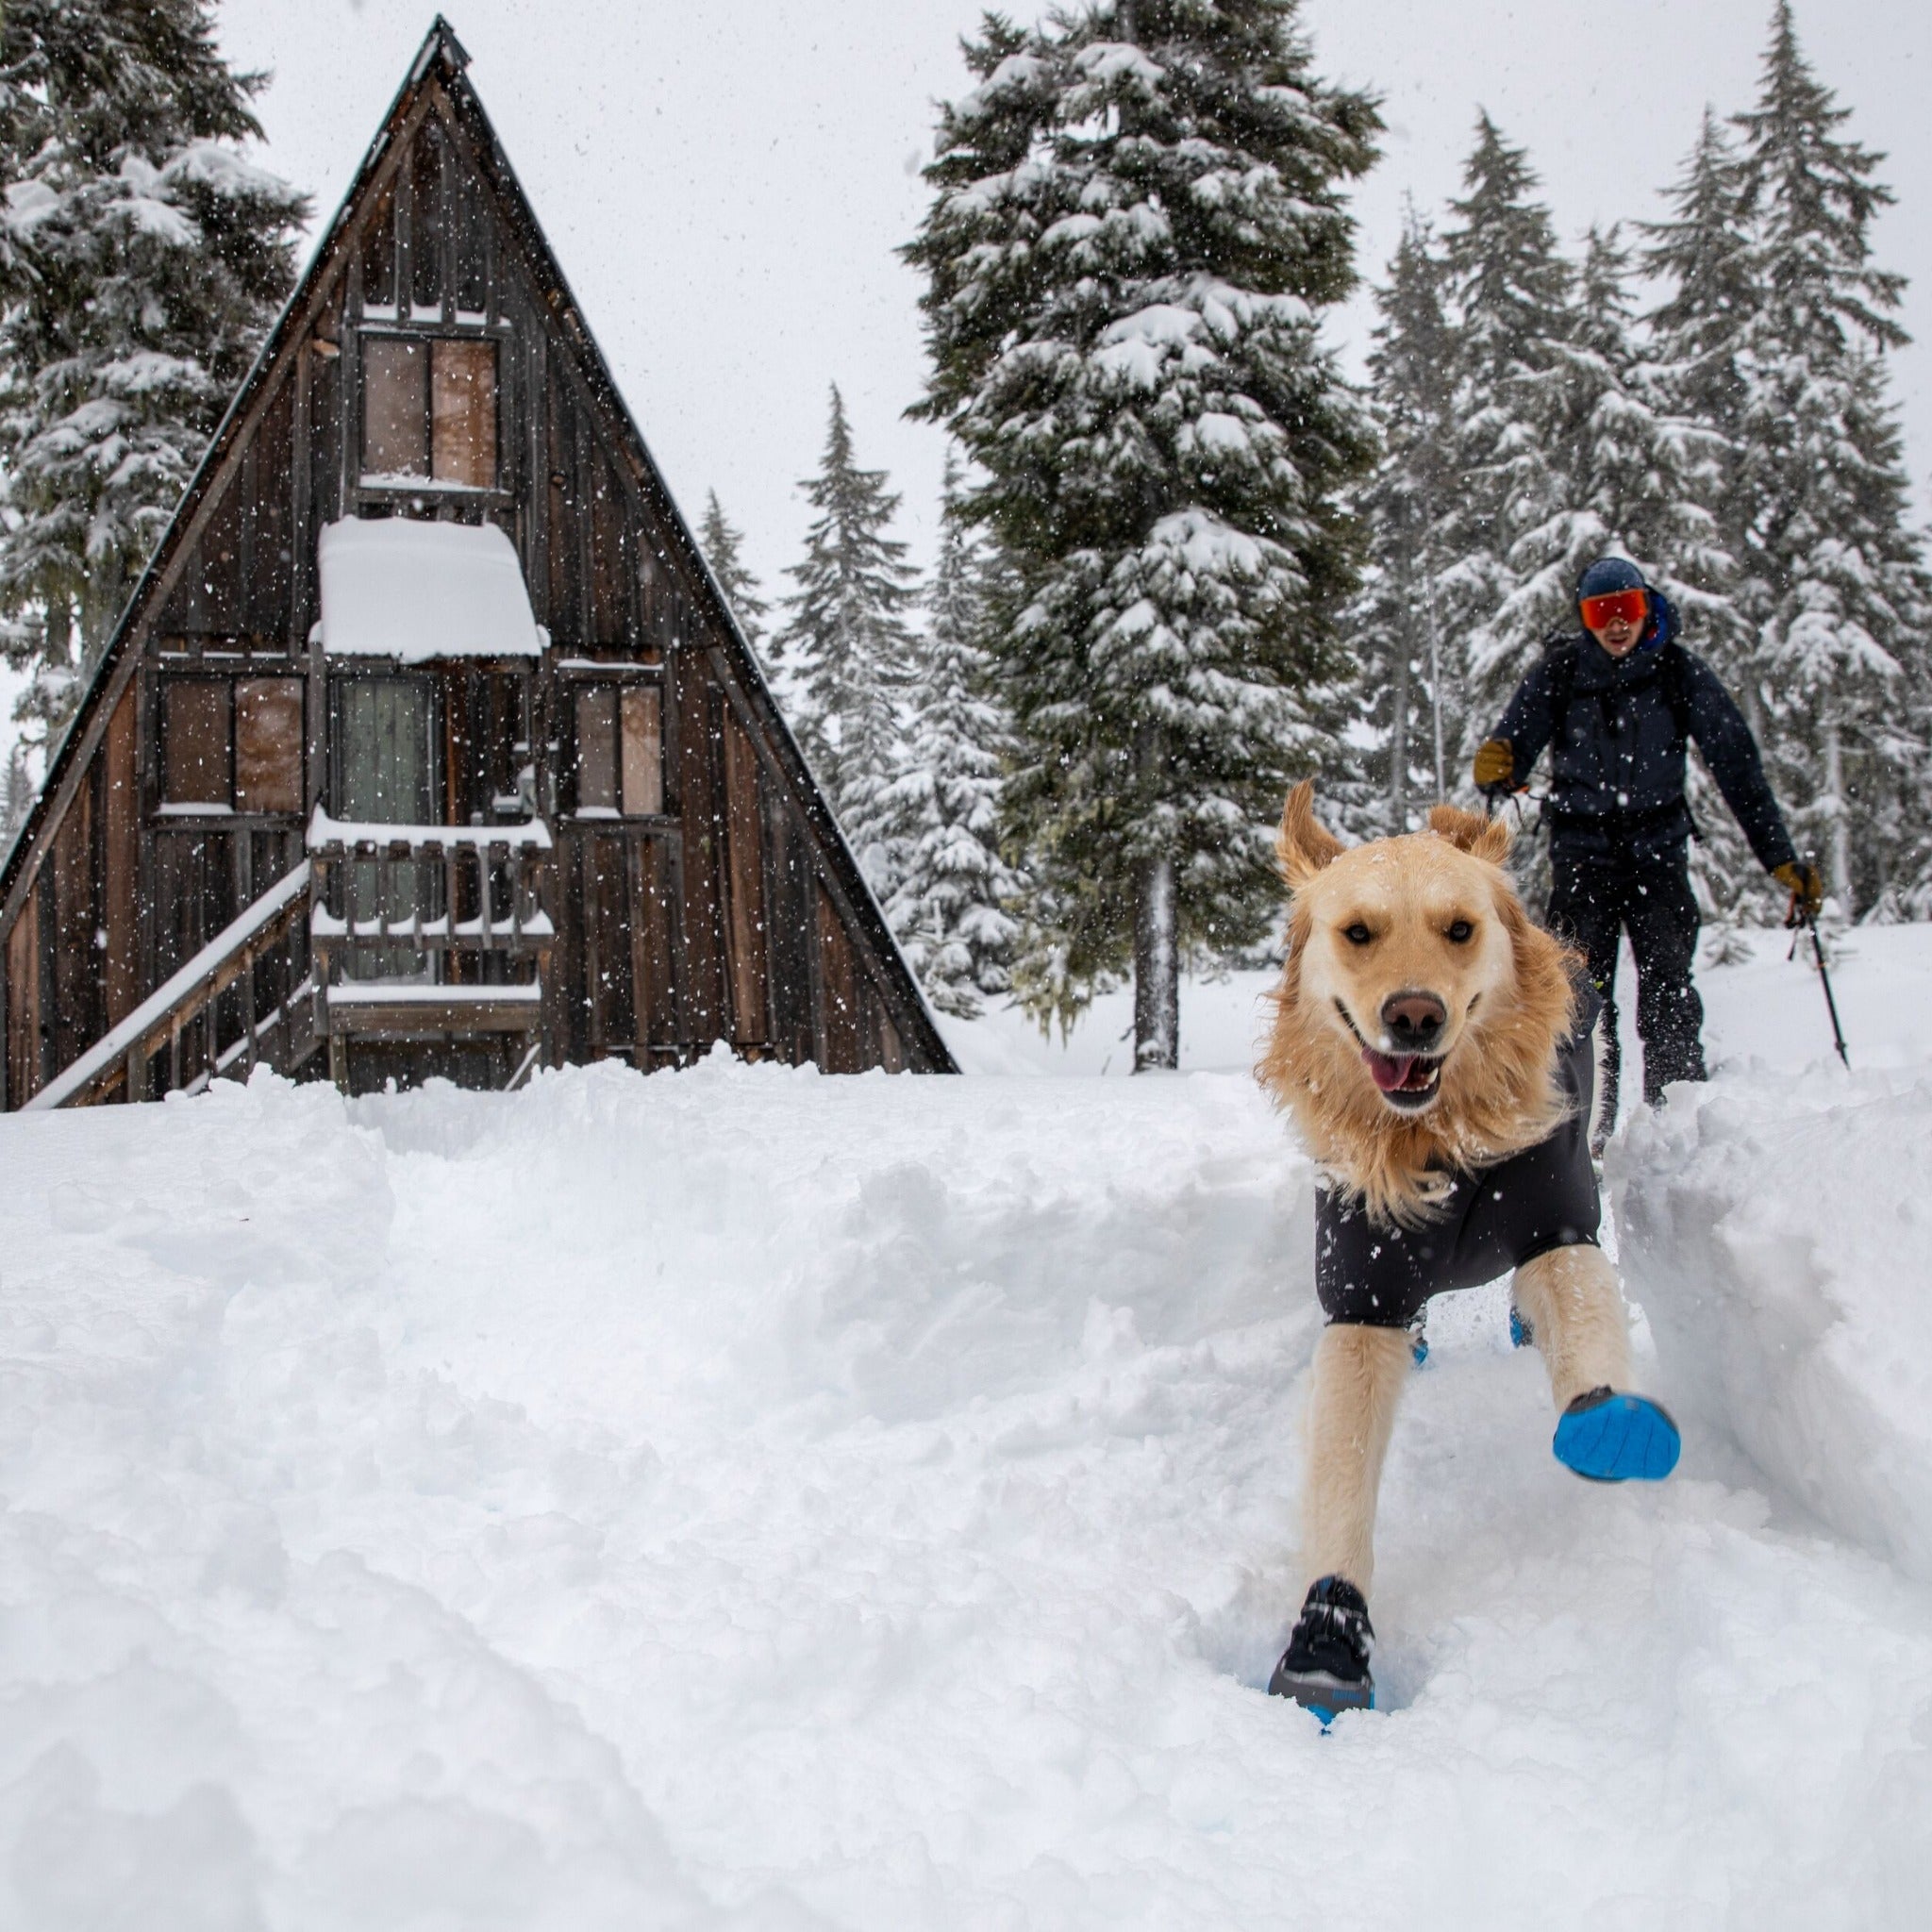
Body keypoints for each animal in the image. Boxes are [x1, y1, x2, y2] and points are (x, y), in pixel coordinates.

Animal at [1252, 784, 1676, 1723]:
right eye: (1358, 932)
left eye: (1459, 928)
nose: (1415, 1017)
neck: (1436, 1143)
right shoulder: (1362, 1291)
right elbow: (1343, 1469)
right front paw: (1327, 1644)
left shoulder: (1559, 1223)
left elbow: (1580, 1315)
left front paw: (1609, 1421)